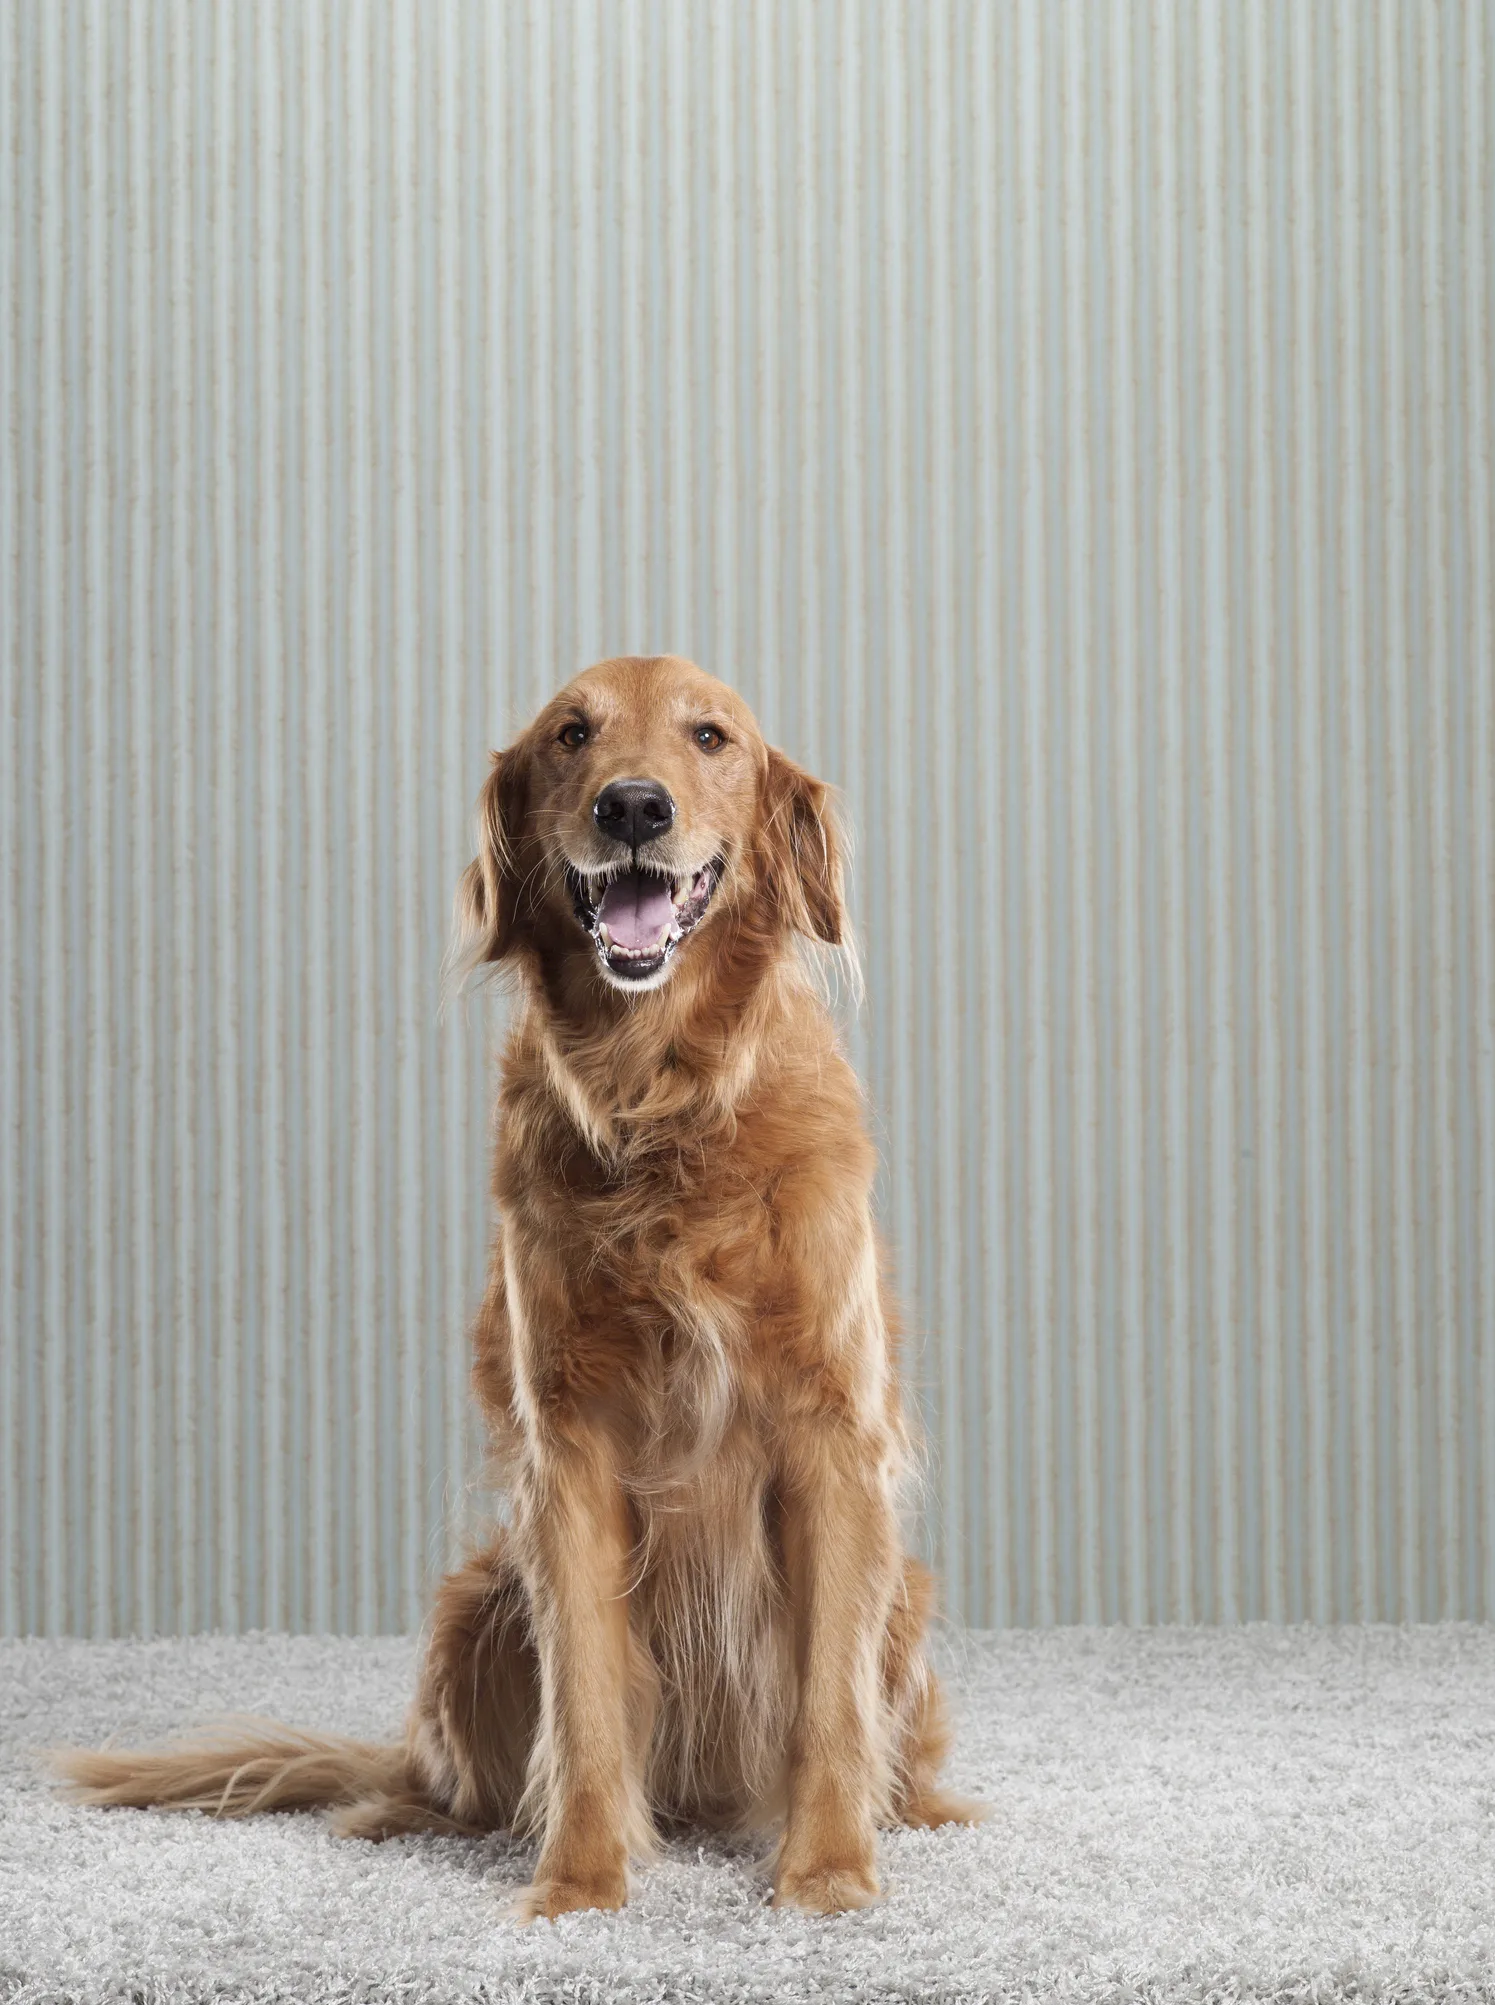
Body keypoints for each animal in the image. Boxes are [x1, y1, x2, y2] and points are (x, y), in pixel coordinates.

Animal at [55, 653, 977, 1908]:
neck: (660, 1098)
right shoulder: (570, 1445)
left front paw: (827, 1875)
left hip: (904, 1600)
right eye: (570, 735)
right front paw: (579, 1885)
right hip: (474, 1606)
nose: (632, 806)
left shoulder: (833, 1432)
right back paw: (406, 1813)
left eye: (710, 735)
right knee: (449, 1781)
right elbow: (584, 1700)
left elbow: (826, 1700)